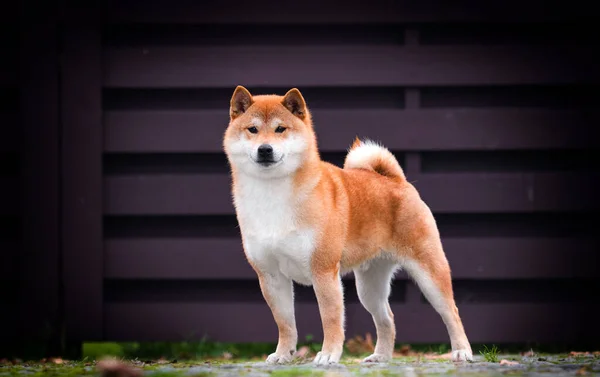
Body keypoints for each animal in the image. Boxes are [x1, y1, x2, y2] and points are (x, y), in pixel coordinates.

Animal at [223, 86, 472, 364]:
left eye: (280, 129)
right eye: (252, 129)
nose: (265, 149)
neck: (272, 194)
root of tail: (396, 180)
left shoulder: (323, 271)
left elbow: (330, 318)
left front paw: (328, 355)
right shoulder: (271, 276)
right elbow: (285, 322)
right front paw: (283, 354)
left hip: (429, 272)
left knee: (451, 311)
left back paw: (462, 351)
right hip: (369, 287)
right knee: (387, 318)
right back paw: (381, 356)